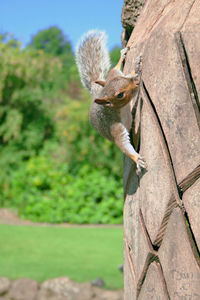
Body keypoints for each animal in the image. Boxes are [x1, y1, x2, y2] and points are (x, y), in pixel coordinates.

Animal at [76, 30, 146, 173]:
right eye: (120, 95)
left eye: (123, 79)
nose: (136, 82)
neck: (118, 109)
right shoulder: (115, 129)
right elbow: (123, 143)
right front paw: (137, 159)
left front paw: (135, 70)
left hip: (114, 73)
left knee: (115, 69)